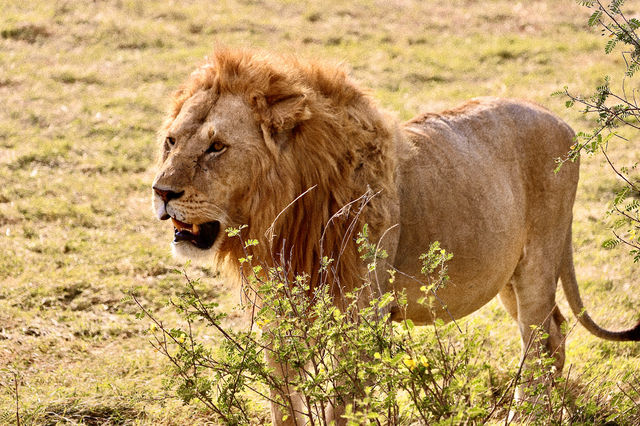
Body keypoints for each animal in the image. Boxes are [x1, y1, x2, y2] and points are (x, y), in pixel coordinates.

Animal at [151, 48, 640, 424]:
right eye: (171, 142)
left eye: (217, 147)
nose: (161, 192)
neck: (283, 217)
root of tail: (562, 122)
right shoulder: (277, 314)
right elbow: (284, 402)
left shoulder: (359, 317)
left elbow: (344, 406)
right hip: (507, 276)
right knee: (554, 332)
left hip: (538, 261)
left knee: (540, 342)